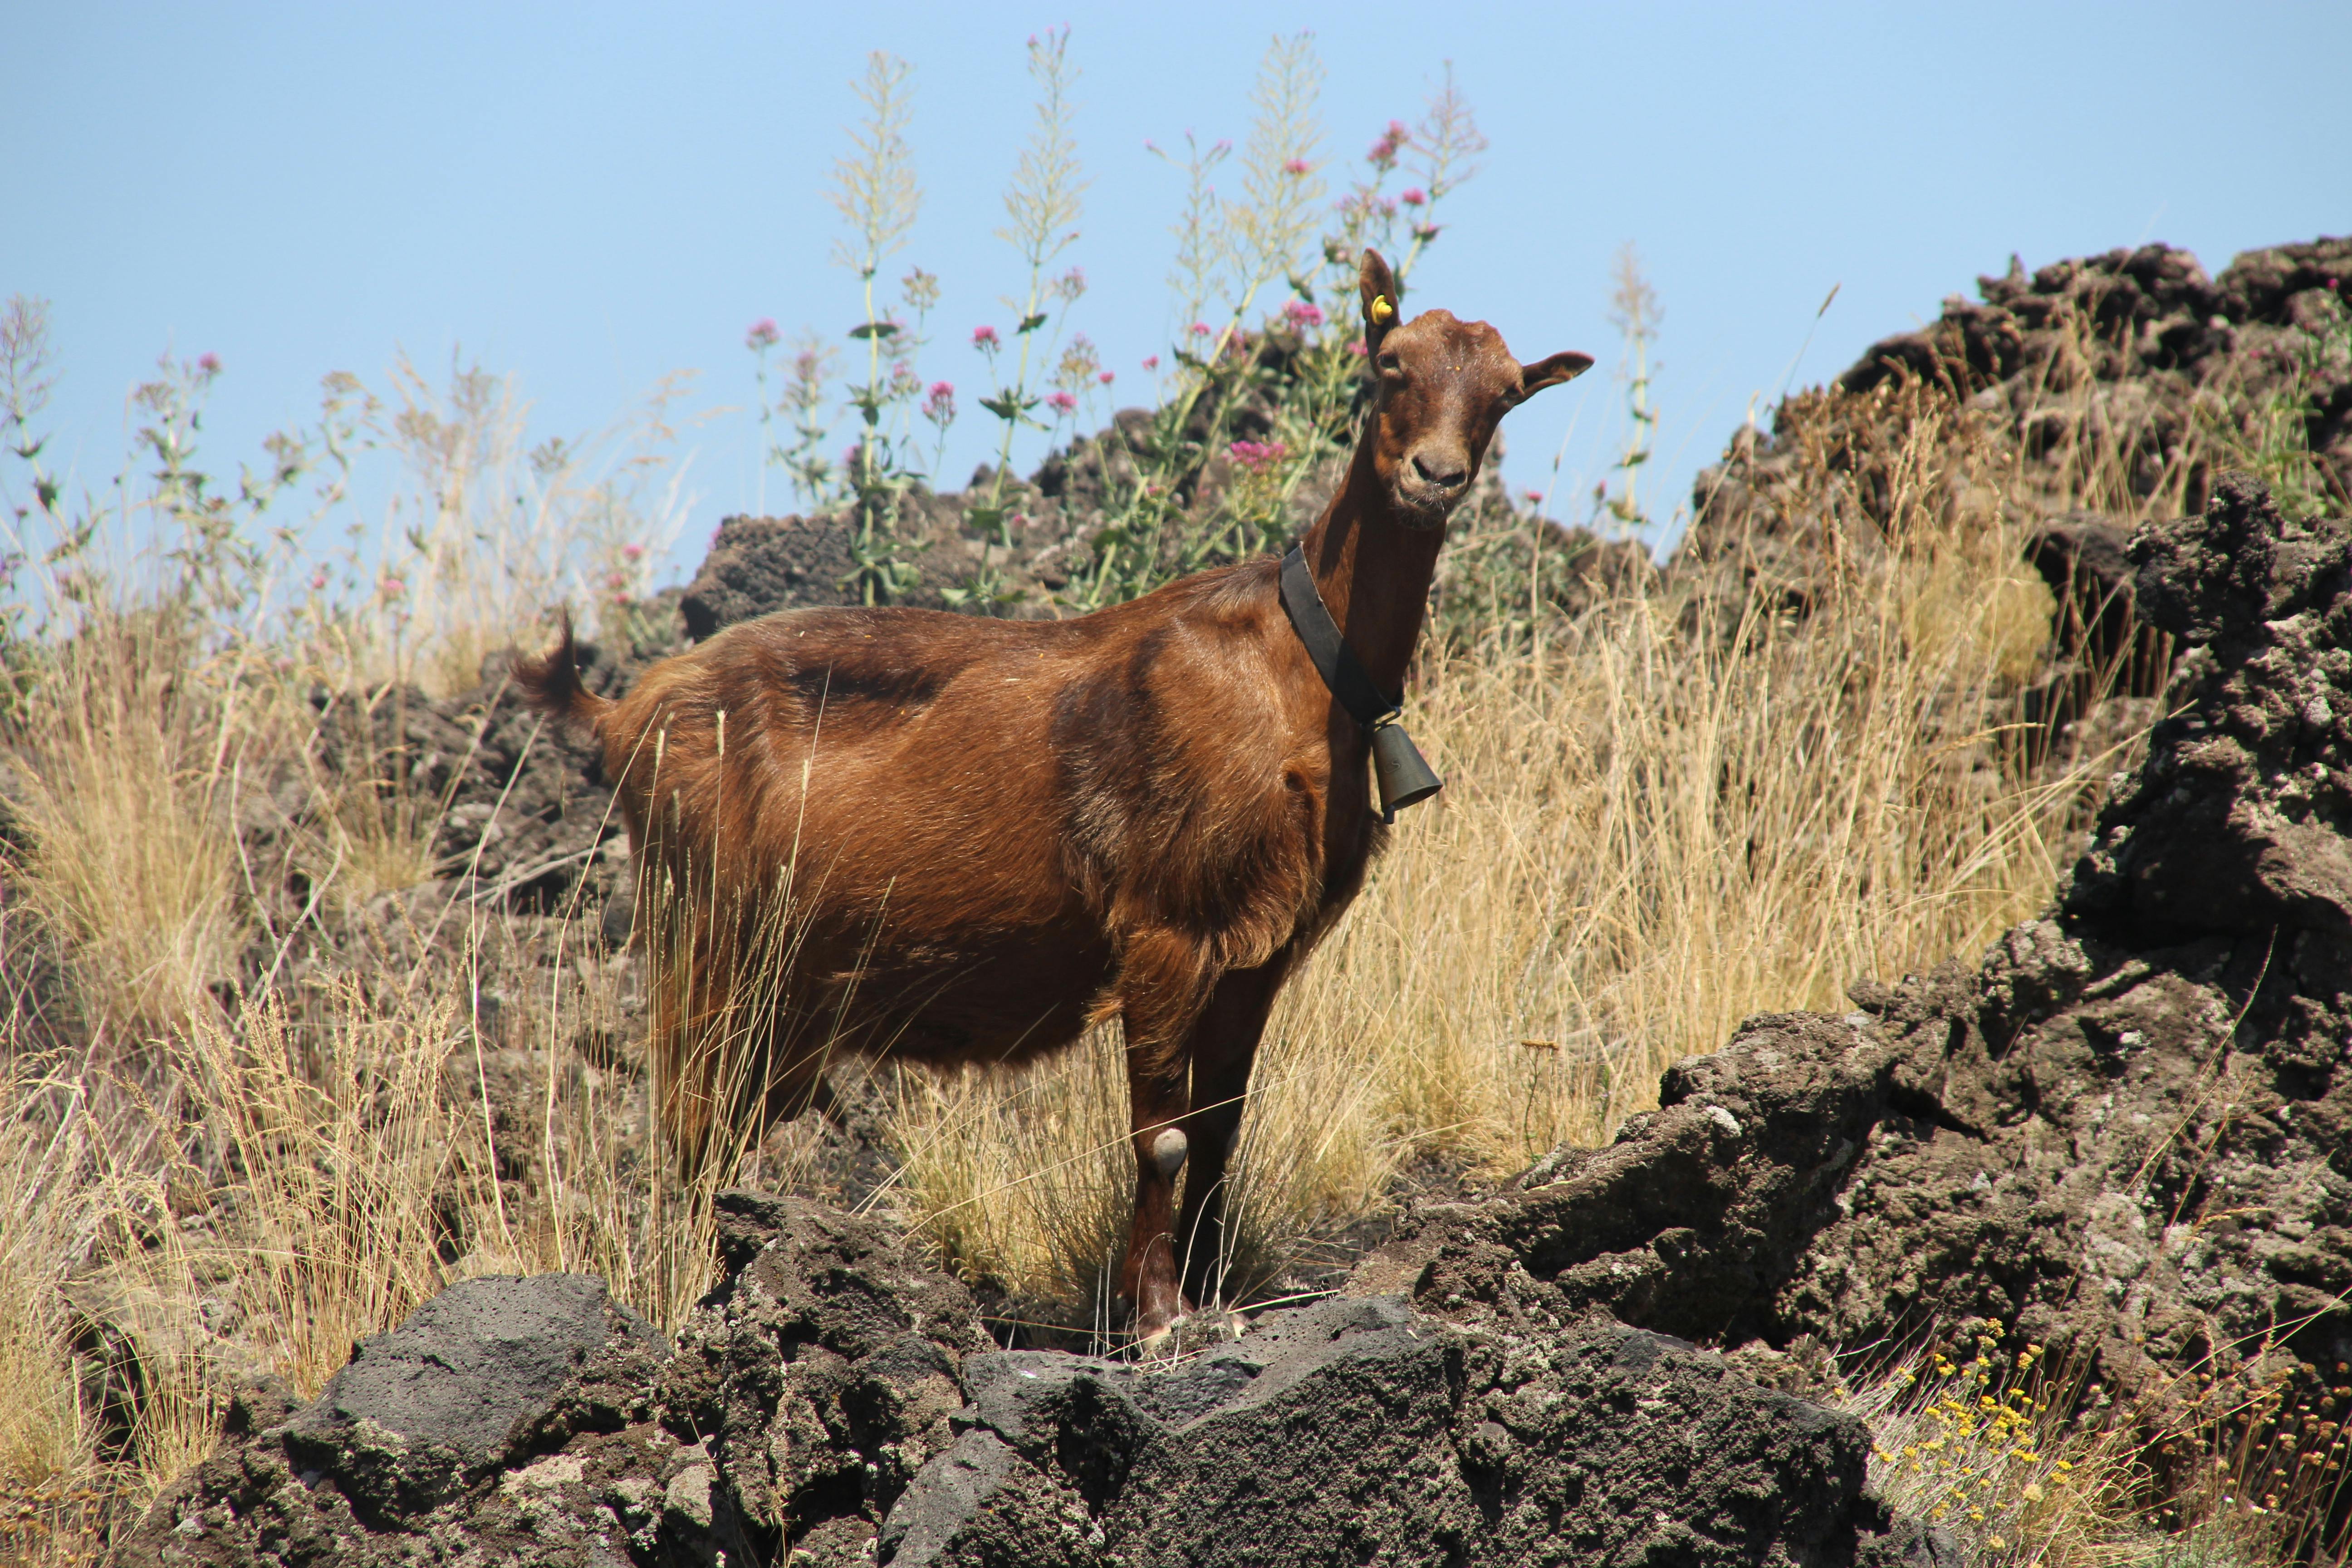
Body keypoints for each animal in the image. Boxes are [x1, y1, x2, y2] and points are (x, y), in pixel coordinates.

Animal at [514, 249, 1590, 1339]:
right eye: (1390, 362)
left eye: (1506, 395)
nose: (1434, 477)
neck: (1299, 666)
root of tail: (622, 710)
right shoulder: (1163, 928)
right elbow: (1162, 1138)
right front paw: (1154, 1318)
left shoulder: (1258, 951)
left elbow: (1218, 1131)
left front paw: (1208, 1297)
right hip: (708, 931)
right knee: (687, 1124)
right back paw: (684, 1290)